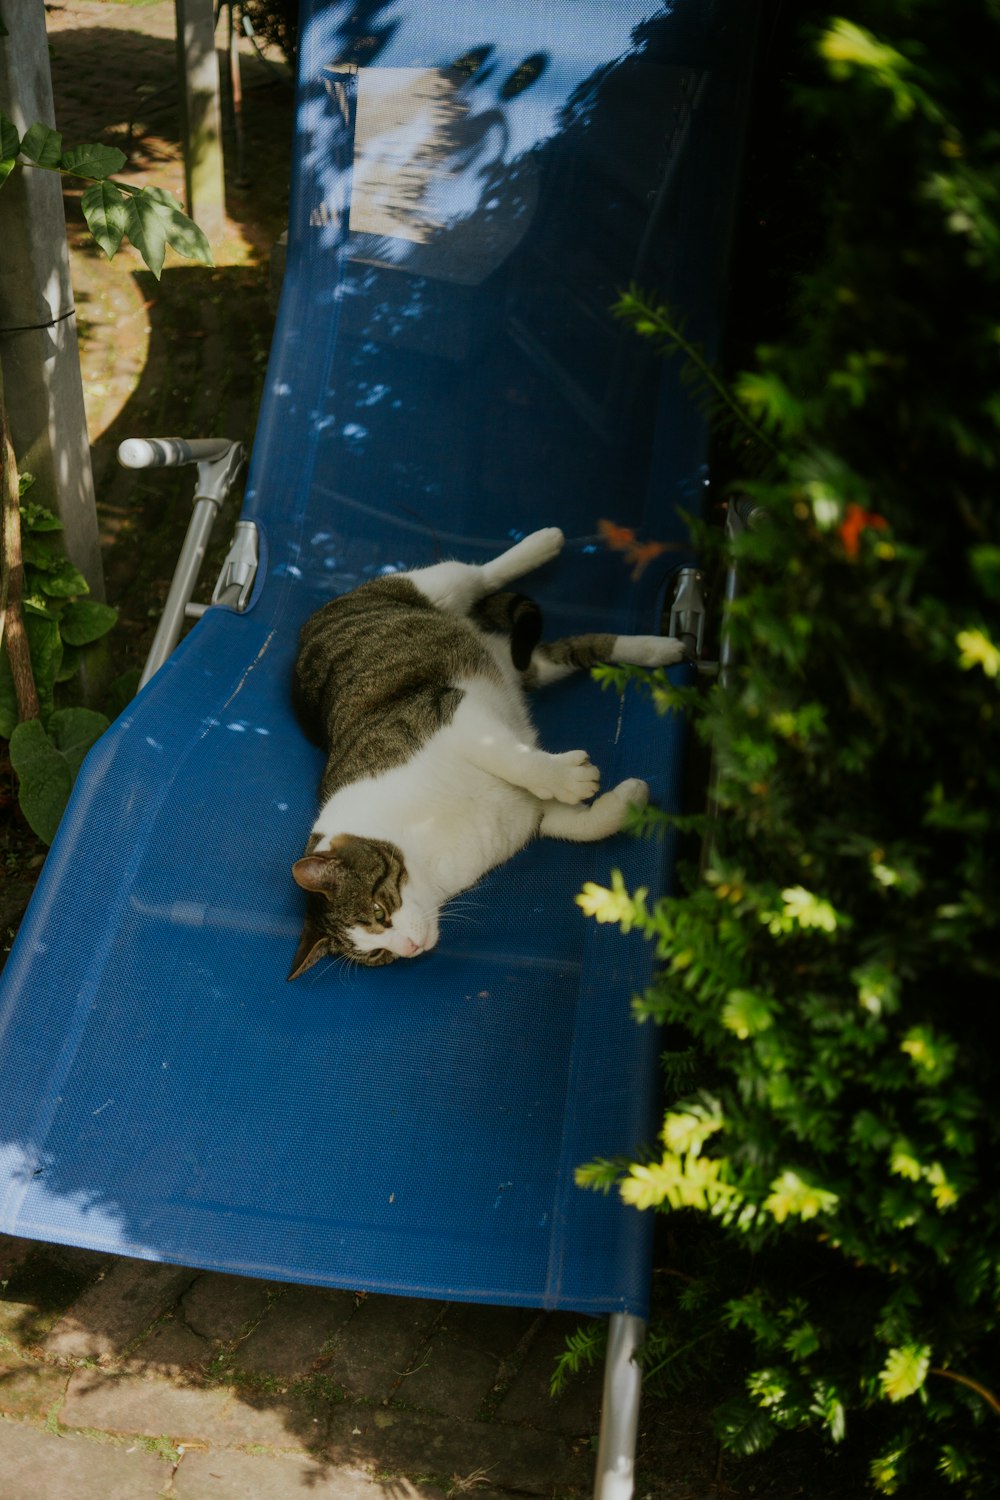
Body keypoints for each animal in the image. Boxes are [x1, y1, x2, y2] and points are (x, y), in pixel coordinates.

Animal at [284, 531, 683, 984]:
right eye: (376, 954)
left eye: (378, 911)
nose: (410, 948)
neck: (427, 855)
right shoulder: (530, 814)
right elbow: (581, 825)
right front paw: (629, 801)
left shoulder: (449, 713)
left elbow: (512, 759)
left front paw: (567, 780)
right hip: (521, 663)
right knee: (566, 653)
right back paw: (654, 649)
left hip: (430, 585)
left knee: (479, 574)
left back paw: (543, 543)